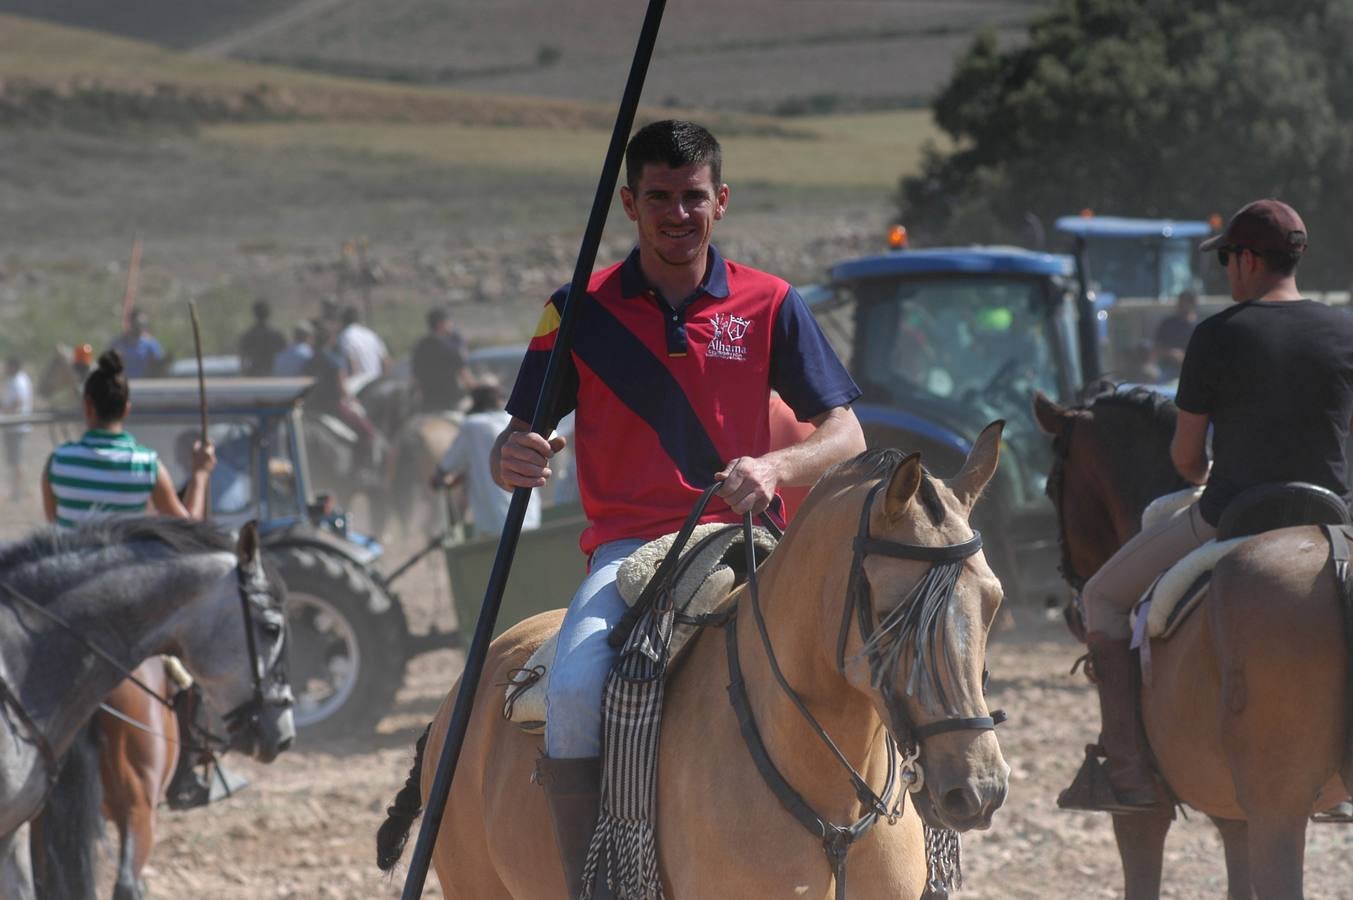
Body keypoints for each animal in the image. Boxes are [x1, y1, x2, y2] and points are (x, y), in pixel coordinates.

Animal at [1033, 387, 1353, 898]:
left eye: (1050, 486)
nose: (1069, 611)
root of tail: (1334, 552)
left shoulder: (1142, 817)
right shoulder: (1233, 812)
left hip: (1278, 812)